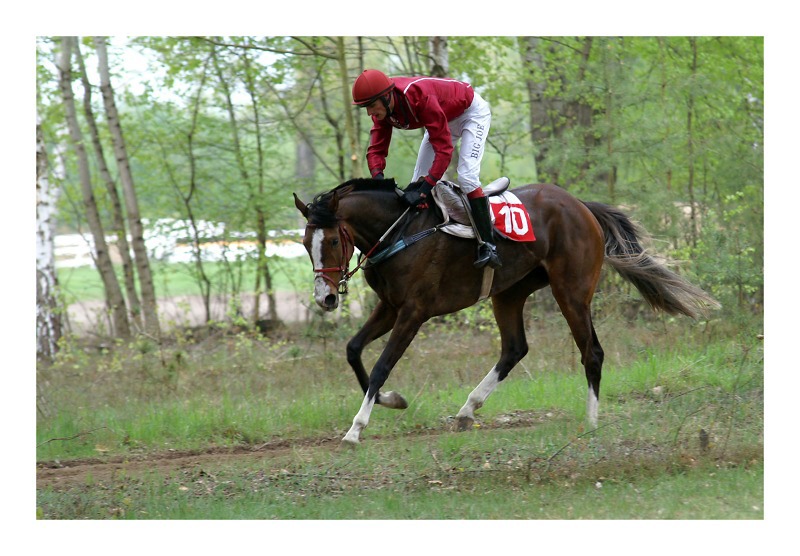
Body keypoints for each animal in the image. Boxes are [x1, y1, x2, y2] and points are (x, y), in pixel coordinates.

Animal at [294, 178, 720, 448]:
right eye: (304, 242)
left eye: (333, 241)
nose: (325, 298)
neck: (400, 232)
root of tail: (581, 206)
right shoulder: (390, 306)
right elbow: (353, 350)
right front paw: (390, 400)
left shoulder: (413, 312)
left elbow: (382, 365)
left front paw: (357, 428)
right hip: (510, 292)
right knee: (514, 349)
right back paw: (468, 410)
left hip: (571, 292)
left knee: (592, 352)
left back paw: (591, 421)